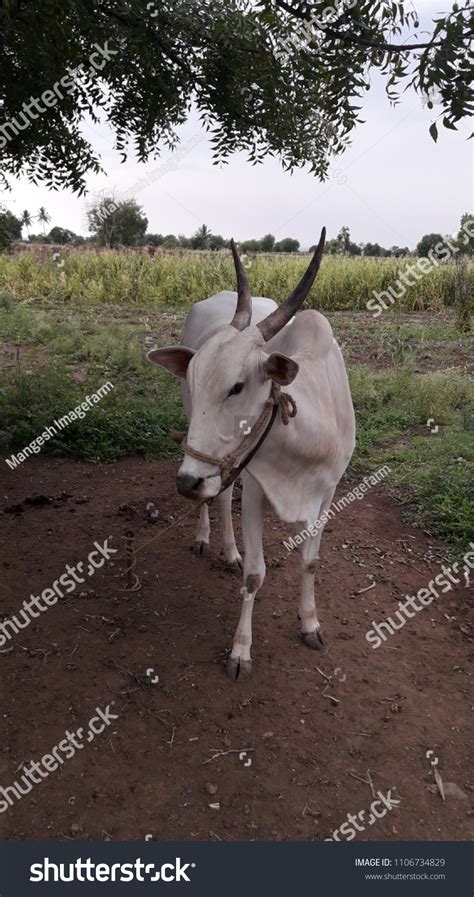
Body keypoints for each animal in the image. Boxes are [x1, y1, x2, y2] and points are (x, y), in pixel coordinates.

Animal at [148, 229, 356, 680]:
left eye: (237, 386)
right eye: (194, 379)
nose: (186, 481)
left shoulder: (329, 492)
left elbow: (310, 561)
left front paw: (310, 624)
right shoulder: (256, 487)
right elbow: (255, 575)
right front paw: (241, 650)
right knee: (221, 496)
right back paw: (214, 543)